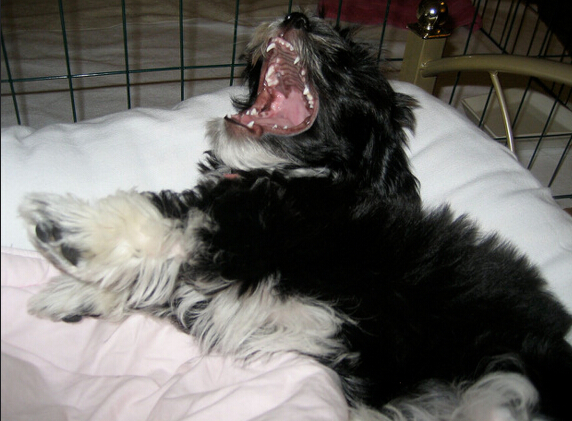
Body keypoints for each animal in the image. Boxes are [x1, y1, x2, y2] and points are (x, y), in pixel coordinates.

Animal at [20, 12, 572, 421]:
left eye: (348, 63)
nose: (297, 16)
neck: (297, 177)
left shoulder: (266, 236)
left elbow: (176, 221)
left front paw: (72, 231)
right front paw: (75, 291)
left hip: (499, 378)